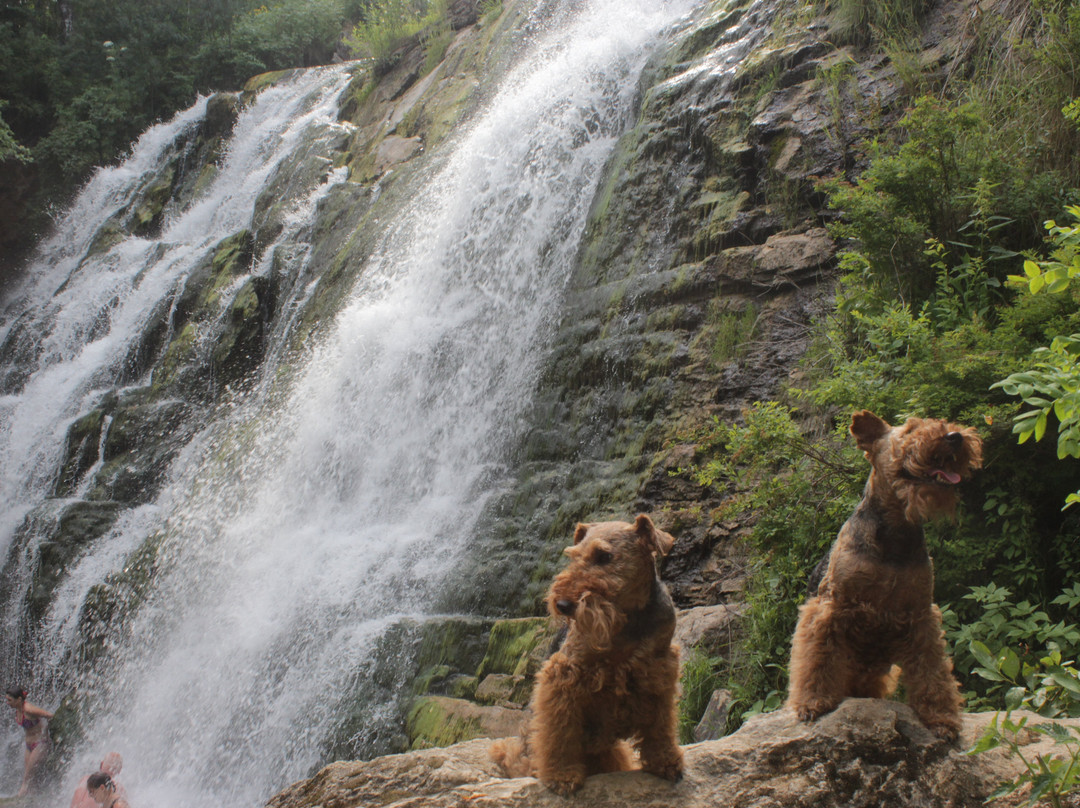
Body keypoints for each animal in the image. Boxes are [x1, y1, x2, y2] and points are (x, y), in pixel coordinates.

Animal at [492, 514, 682, 790]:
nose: (562, 604)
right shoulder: (565, 674)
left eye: (604, 556)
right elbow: (560, 731)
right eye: (574, 556)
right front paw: (561, 775)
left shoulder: (658, 671)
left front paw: (666, 762)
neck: (627, 620)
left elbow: (660, 726)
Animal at [790, 410, 984, 738]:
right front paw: (813, 702)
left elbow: (933, 673)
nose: (955, 437)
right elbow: (818, 659)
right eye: (909, 431)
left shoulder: (921, 614)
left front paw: (942, 718)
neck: (895, 536)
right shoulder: (830, 607)